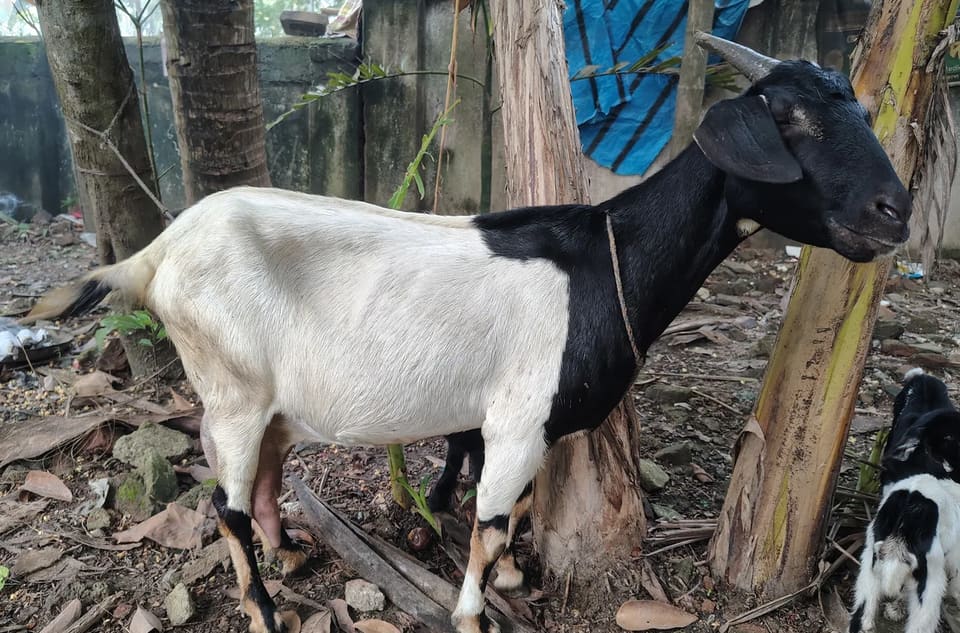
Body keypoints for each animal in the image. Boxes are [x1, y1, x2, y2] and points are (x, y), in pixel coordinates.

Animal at [26, 34, 910, 633]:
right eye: (787, 117)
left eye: (861, 111)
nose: (893, 212)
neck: (603, 258)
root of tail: (156, 252)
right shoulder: (517, 417)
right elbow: (486, 523)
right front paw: (474, 609)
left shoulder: (518, 427)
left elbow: (512, 508)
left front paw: (515, 577)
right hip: (231, 387)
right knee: (224, 502)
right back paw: (264, 607)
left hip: (268, 398)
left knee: (266, 479)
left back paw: (291, 553)